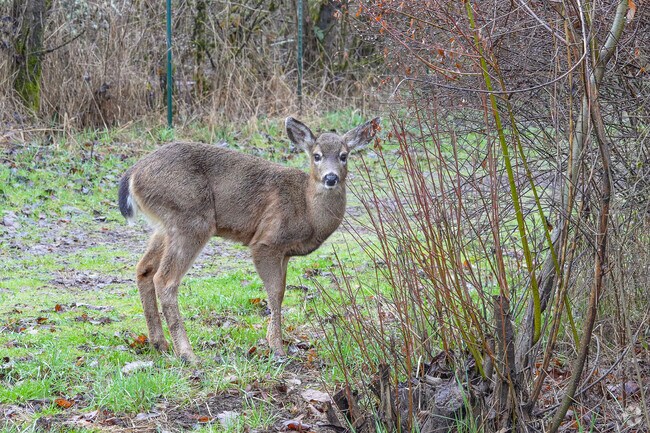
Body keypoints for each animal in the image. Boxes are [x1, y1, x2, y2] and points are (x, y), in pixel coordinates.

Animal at [118, 116, 380, 362]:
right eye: (316, 156)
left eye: (344, 156)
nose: (331, 178)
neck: (307, 210)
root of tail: (133, 174)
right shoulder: (266, 242)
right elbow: (275, 293)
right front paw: (277, 348)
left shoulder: (285, 253)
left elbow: (281, 292)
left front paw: (274, 341)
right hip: (191, 219)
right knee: (165, 279)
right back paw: (187, 354)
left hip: (165, 226)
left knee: (144, 269)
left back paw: (159, 344)